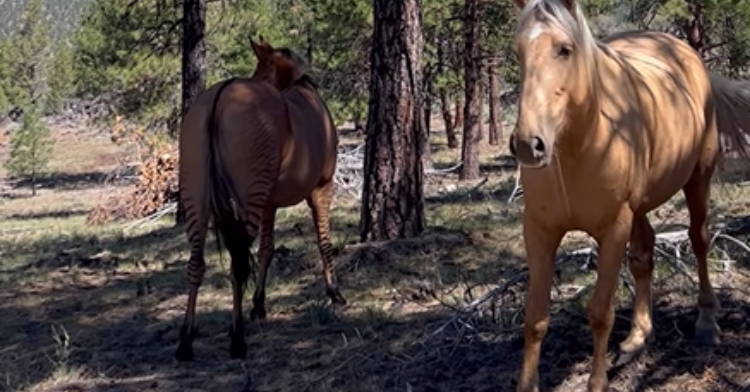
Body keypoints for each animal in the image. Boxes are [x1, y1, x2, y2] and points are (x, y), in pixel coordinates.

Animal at [176, 36, 346, 362]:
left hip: (197, 200)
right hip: (247, 198)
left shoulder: (269, 203)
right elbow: (324, 240)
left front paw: (259, 303)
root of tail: (221, 95)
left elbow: (267, 249)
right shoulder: (322, 189)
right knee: (238, 266)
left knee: (196, 264)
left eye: (261, 69)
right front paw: (334, 291)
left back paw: (186, 341)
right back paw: (237, 338)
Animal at [512, 0, 750, 392]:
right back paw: (638, 336)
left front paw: (597, 382)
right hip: (638, 208)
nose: (528, 145)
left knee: (699, 239)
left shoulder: (613, 229)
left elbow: (600, 313)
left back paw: (706, 322)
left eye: (565, 49)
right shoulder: (540, 230)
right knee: (644, 254)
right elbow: (535, 318)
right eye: (518, 52)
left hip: (697, 179)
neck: (580, 143)